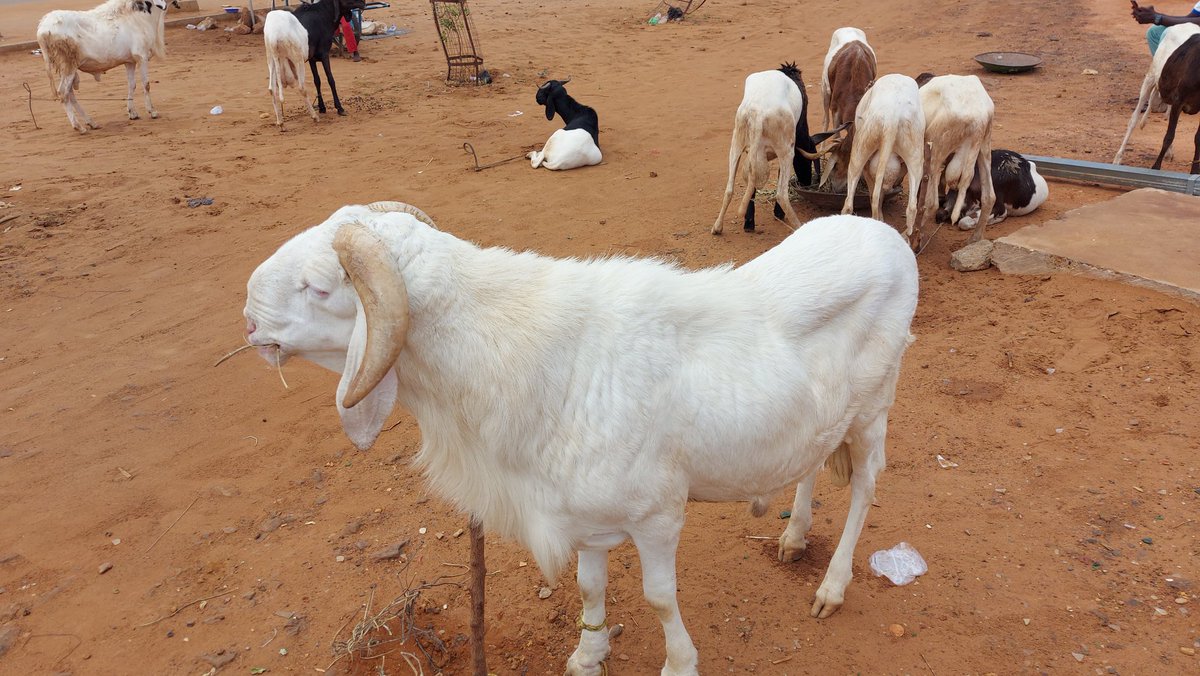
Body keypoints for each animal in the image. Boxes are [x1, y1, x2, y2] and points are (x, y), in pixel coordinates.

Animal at [36, 0, 178, 133]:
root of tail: (42, 30)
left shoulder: (130, 62)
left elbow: (132, 85)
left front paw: (132, 113)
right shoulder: (141, 57)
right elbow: (146, 84)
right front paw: (152, 111)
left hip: (66, 69)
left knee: (70, 94)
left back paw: (91, 122)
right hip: (68, 66)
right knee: (63, 93)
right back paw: (79, 127)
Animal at [242, 202, 919, 675]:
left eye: (319, 287)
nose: (248, 319)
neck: (528, 355)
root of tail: (886, 238)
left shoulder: (658, 514)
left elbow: (658, 598)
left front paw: (680, 662)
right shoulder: (587, 515)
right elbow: (591, 586)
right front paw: (588, 655)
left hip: (875, 406)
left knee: (865, 487)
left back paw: (832, 587)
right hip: (826, 416)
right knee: (812, 461)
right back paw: (794, 535)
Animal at [712, 63, 819, 234]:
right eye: (807, 162)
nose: (806, 182)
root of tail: (757, 114)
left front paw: (749, 222)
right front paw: (777, 214)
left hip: (736, 144)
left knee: (729, 189)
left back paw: (718, 227)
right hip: (786, 151)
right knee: (781, 194)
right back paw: (799, 226)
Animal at [917, 74, 996, 244]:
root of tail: (978, 120)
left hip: (938, 144)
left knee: (931, 203)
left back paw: (912, 237)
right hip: (984, 144)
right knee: (989, 197)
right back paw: (975, 239)